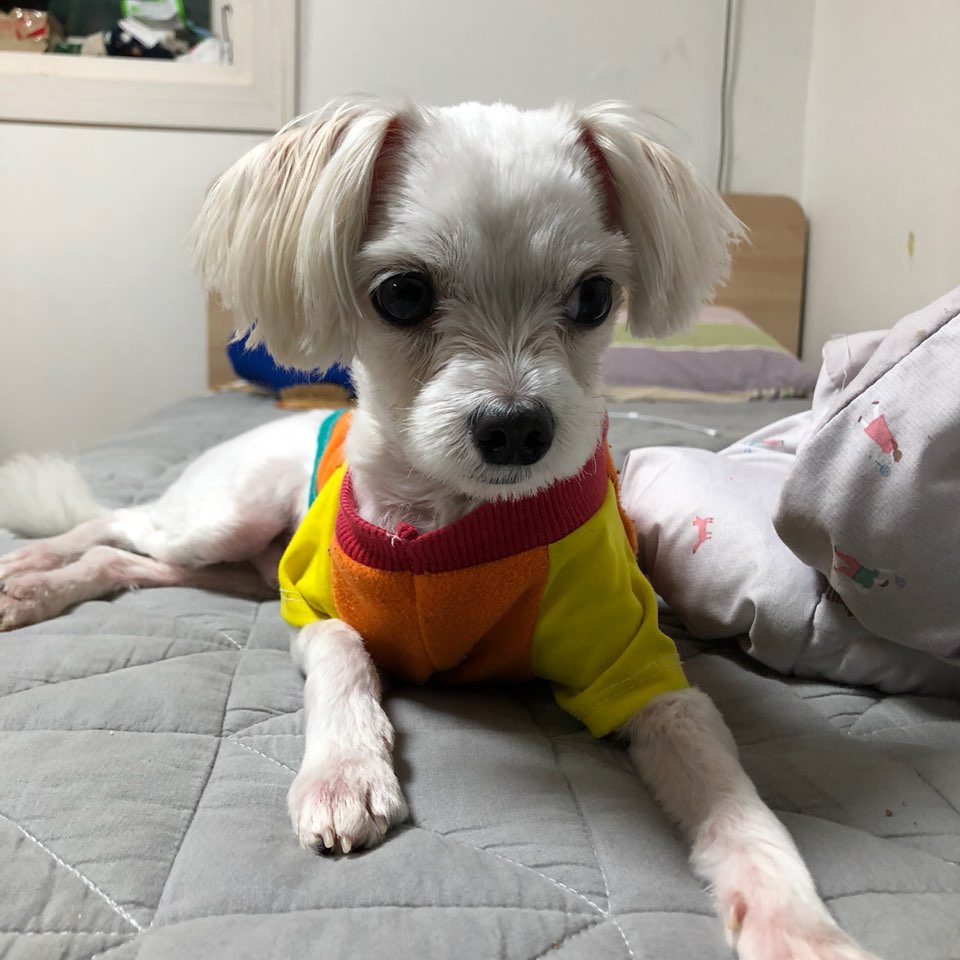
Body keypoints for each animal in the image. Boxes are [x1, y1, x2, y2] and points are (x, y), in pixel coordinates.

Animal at [0, 99, 878, 960]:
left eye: (595, 297)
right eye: (401, 295)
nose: (518, 429)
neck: (452, 518)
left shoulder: (639, 668)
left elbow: (729, 791)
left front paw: (797, 922)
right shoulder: (311, 605)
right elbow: (345, 651)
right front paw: (346, 771)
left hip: (232, 567)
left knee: (127, 560)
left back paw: (40, 587)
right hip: (225, 518)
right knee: (117, 523)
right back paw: (29, 571)